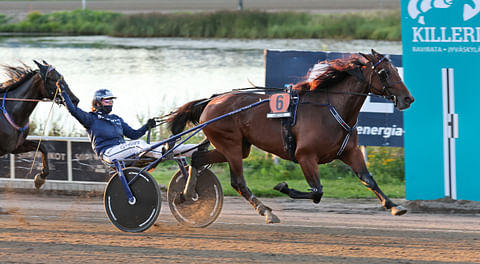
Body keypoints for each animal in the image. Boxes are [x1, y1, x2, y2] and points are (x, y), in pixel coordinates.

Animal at [0, 60, 79, 188]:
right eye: (54, 79)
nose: (75, 100)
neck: (11, 111)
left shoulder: (15, 146)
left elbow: (42, 147)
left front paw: (40, 178)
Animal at [169, 49, 412, 223]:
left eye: (396, 70)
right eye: (384, 73)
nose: (408, 98)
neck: (332, 109)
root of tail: (211, 101)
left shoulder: (350, 152)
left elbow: (367, 179)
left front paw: (394, 206)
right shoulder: (306, 156)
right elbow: (317, 192)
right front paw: (284, 187)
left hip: (236, 147)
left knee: (197, 158)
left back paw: (186, 194)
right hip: (230, 145)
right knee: (238, 182)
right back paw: (266, 211)